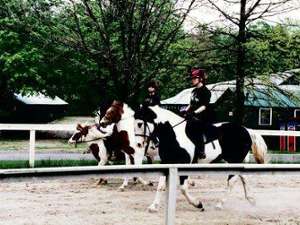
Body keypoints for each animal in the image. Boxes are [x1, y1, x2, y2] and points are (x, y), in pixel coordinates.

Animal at [134, 104, 268, 212]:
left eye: (140, 124)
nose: (139, 144)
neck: (173, 135)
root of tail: (247, 130)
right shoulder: (167, 162)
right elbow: (161, 185)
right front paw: (153, 206)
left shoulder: (183, 163)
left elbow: (183, 188)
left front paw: (198, 204)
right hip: (235, 161)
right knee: (243, 176)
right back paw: (251, 199)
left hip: (234, 160)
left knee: (231, 181)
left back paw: (220, 204)